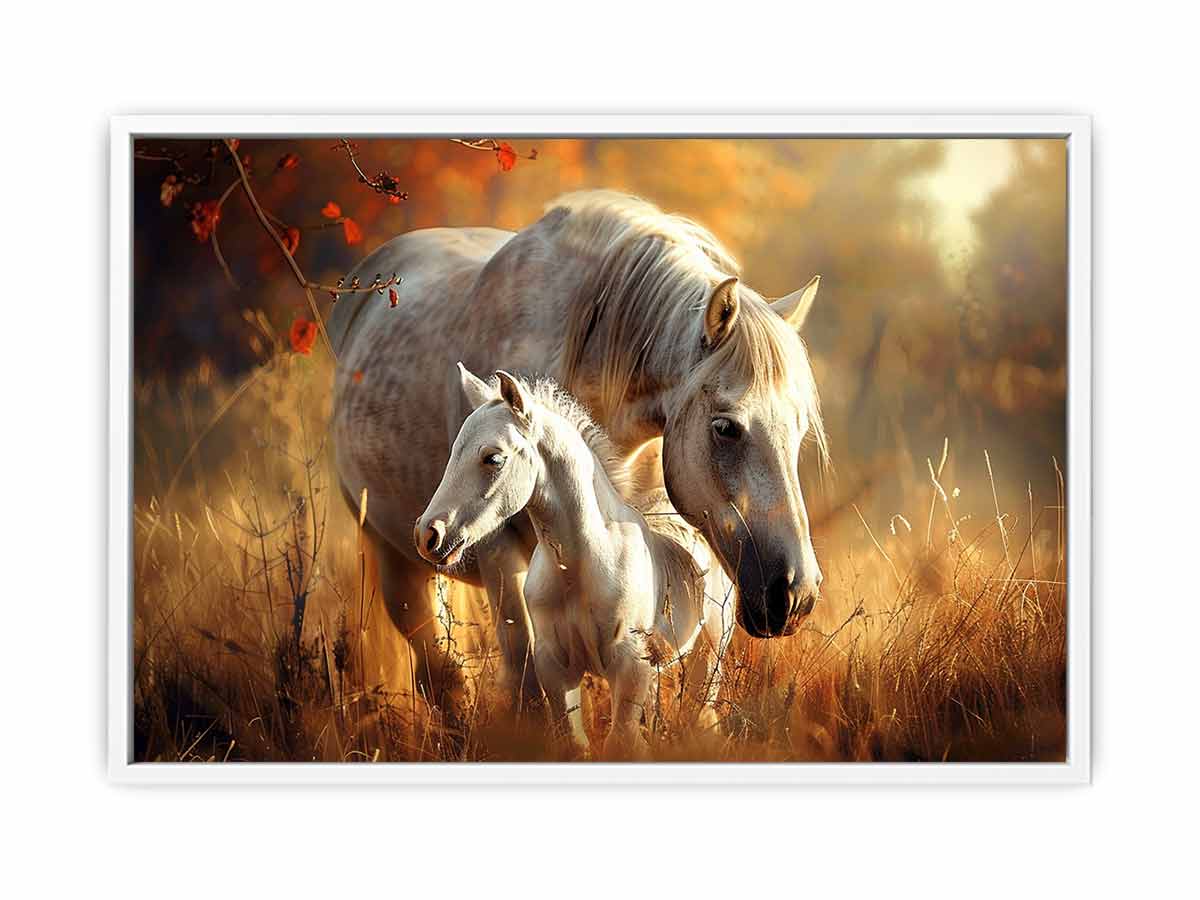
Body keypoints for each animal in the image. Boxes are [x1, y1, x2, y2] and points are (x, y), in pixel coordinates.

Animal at [416, 365, 735, 756]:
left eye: (493, 457)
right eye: (453, 454)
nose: (428, 535)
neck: (580, 567)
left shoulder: (631, 666)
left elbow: (621, 743)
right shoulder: (556, 668)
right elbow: (575, 744)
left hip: (711, 650)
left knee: (701, 713)